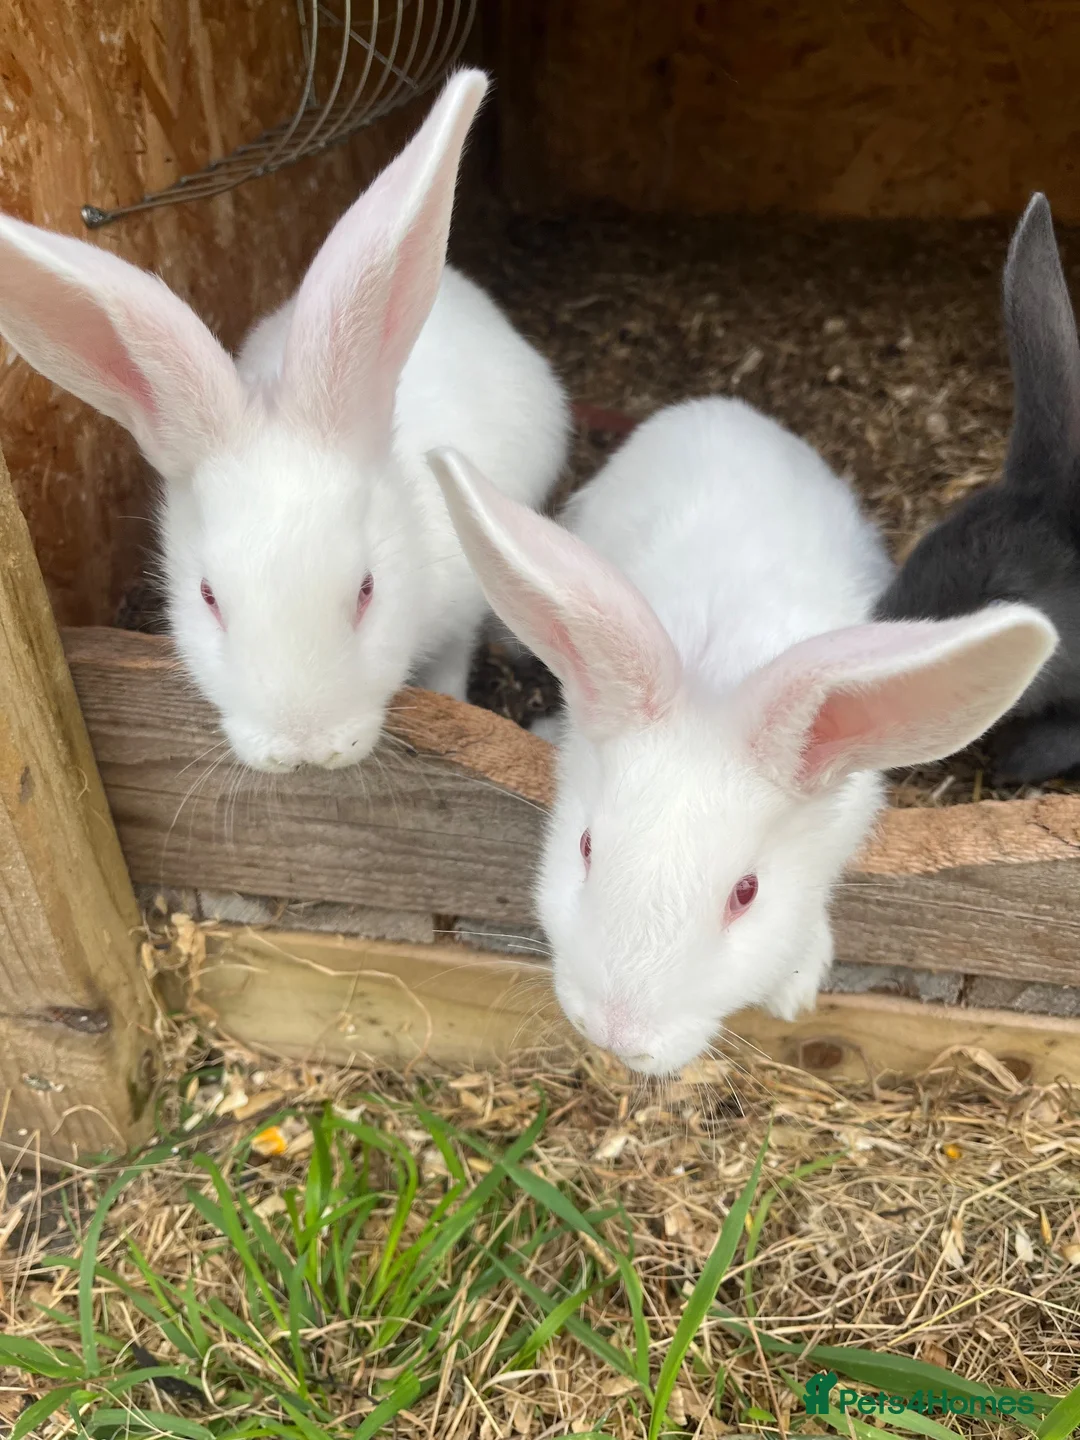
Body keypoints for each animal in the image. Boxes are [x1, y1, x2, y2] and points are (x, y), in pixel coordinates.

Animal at [426, 396, 1056, 1076]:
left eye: (746, 894)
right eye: (586, 848)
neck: (716, 674)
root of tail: (717, 407)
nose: (617, 1037)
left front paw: (795, 989)